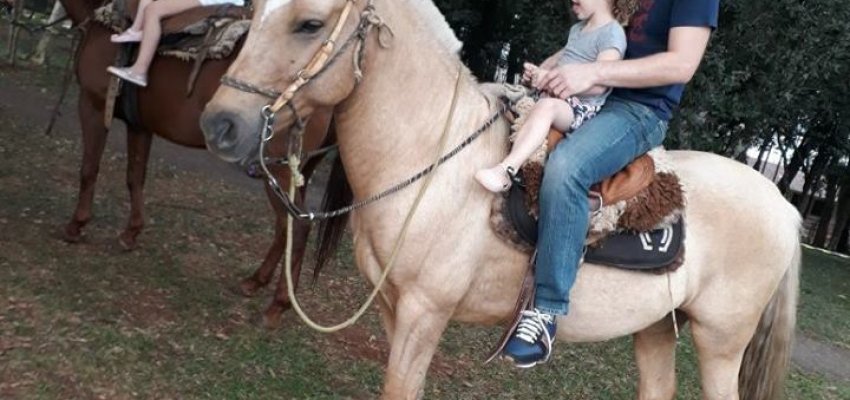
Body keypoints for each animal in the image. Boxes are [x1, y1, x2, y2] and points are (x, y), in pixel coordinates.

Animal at [57, 0, 344, 327]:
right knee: (286, 227)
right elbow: (135, 176)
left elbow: (89, 168)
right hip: (296, 170)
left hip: (279, 170)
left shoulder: (91, 104)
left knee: (298, 227)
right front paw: (131, 233)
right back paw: (255, 282)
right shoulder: (139, 125)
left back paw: (276, 306)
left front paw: (76, 226)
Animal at [199, 1, 802, 398]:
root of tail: (784, 205)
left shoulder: (423, 314)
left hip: (721, 342)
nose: (219, 125)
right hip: (658, 329)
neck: (432, 161)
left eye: (309, 24)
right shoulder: (396, 311)